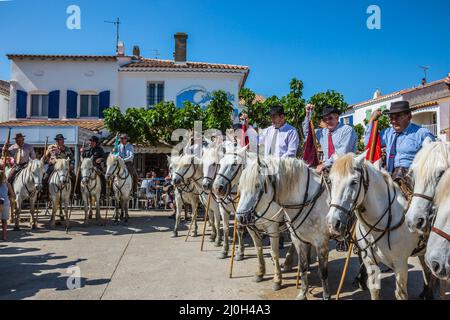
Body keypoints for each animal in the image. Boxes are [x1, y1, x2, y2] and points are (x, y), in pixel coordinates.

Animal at [237, 156, 332, 298]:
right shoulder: (252, 228)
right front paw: (260, 273)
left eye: (257, 185)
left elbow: (274, 252)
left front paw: (277, 280)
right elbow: (259, 249)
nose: (240, 218)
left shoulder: (273, 228)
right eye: (240, 185)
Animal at [326, 154, 440, 298]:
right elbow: (374, 289)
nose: (333, 223)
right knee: (427, 271)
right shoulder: (369, 261)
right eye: (330, 181)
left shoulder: (401, 264)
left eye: (354, 182)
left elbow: (401, 294)